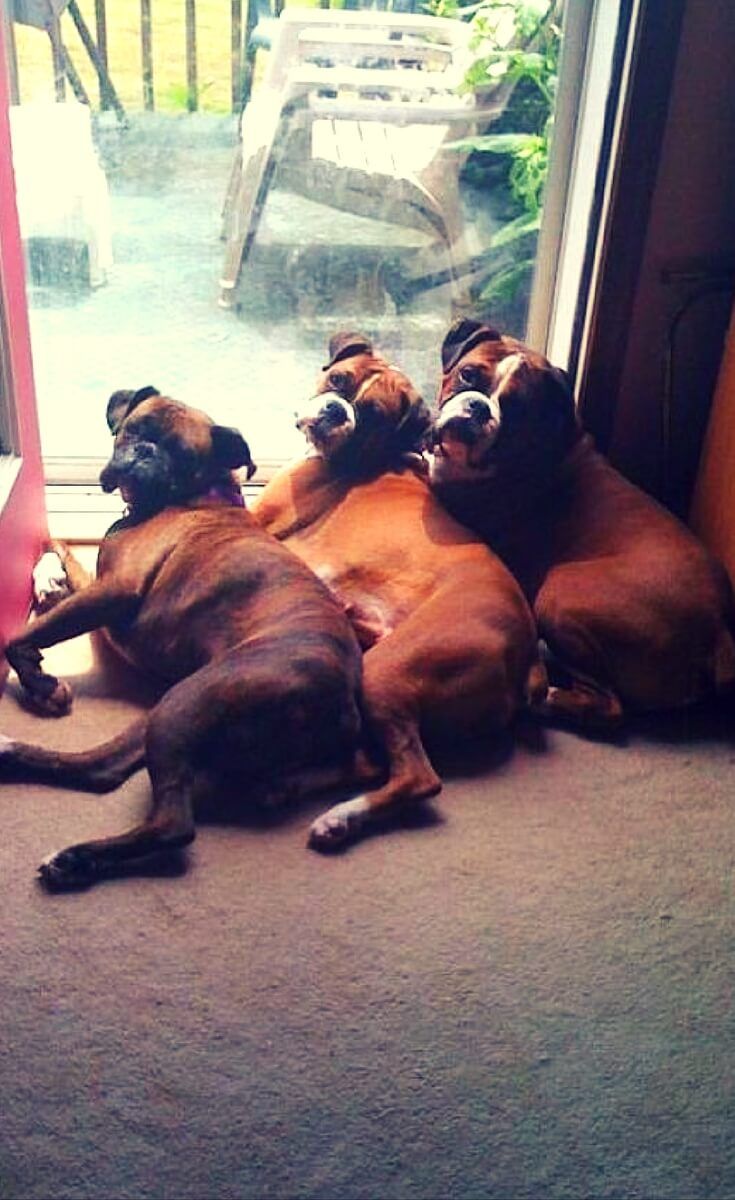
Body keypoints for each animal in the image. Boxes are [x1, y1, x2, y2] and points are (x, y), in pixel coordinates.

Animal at [1, 388, 372, 888]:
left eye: (182, 454)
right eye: (134, 429)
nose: (145, 452)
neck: (194, 495)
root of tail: (343, 699)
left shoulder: (115, 590)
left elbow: (24, 636)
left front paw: (40, 683)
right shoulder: (100, 584)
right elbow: (58, 547)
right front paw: (47, 579)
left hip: (184, 703)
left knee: (171, 822)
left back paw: (75, 859)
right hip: (169, 711)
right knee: (102, 769)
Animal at [252, 333, 545, 849]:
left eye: (372, 414)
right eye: (338, 381)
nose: (336, 411)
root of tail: (525, 649)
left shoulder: (260, 520)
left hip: (385, 672)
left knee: (419, 777)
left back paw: (341, 818)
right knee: (371, 761)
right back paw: (293, 788)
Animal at [427, 319, 735, 724]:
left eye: (516, 408)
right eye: (468, 375)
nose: (478, 407)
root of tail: (719, 630)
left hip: (560, 594)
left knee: (608, 704)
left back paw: (548, 699)